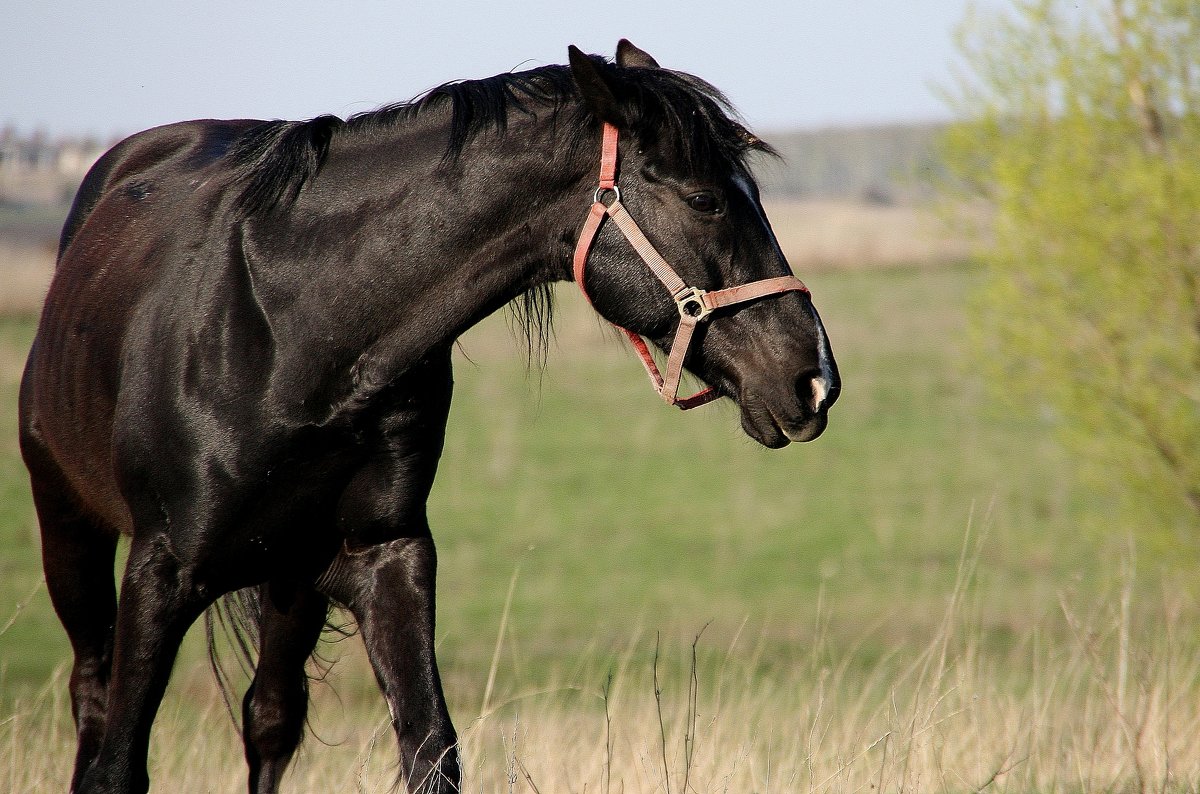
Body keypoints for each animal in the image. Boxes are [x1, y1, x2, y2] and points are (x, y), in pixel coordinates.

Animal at [21, 40, 844, 791]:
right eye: (707, 199)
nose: (814, 380)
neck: (287, 329)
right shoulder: (161, 571)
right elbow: (117, 766)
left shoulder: (388, 558)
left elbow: (431, 752)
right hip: (71, 530)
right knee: (93, 697)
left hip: (288, 581)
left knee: (269, 718)